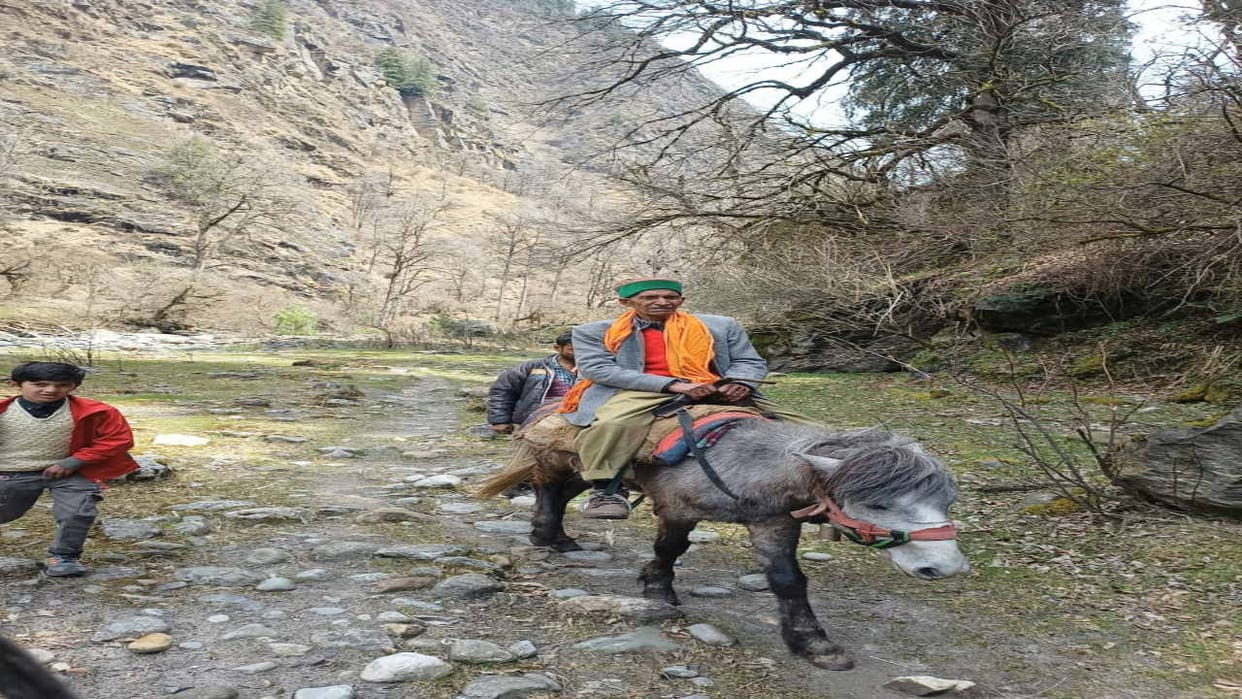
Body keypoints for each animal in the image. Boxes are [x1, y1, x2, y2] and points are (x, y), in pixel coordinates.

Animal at [477, 417, 970, 671]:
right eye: (880, 503)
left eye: (946, 500)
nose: (944, 568)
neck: (745, 461)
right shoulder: (678, 510)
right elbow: (669, 551)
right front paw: (658, 590)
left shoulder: (773, 523)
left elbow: (788, 580)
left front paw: (813, 642)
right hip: (564, 460)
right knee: (548, 489)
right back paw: (546, 535)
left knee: (564, 494)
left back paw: (560, 538)